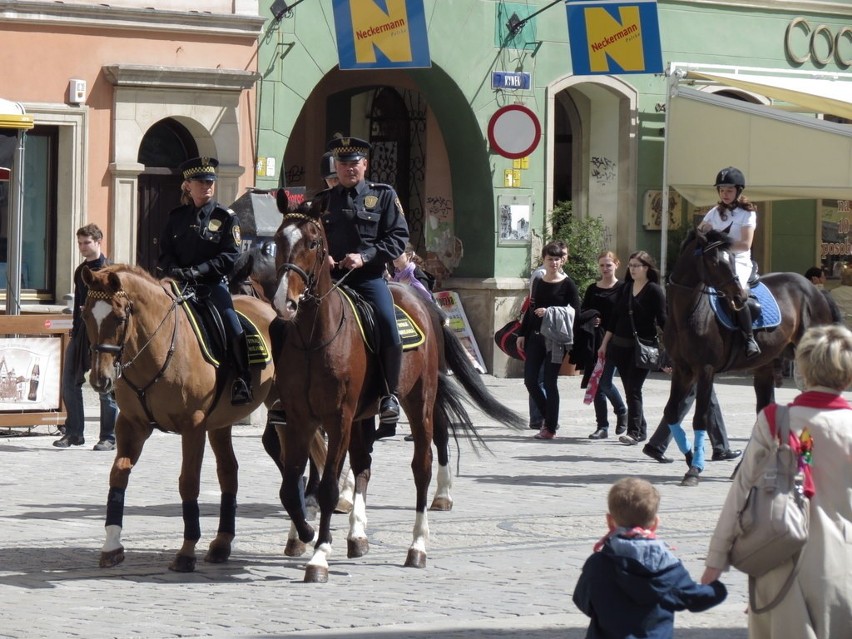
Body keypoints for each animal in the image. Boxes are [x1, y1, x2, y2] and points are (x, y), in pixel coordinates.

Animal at [270, 211, 524, 584]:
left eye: (313, 243)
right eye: (278, 239)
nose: (283, 302)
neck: (314, 339)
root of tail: (424, 303)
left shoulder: (339, 418)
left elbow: (328, 486)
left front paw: (319, 555)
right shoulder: (299, 417)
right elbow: (291, 487)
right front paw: (303, 533)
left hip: (419, 401)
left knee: (424, 464)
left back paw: (417, 544)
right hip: (363, 416)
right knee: (363, 465)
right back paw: (358, 536)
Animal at [664, 228, 836, 482]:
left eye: (732, 259)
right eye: (714, 261)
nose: (739, 297)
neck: (685, 313)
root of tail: (816, 291)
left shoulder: (705, 369)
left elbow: (700, 417)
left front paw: (694, 469)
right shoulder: (681, 369)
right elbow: (671, 414)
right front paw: (690, 458)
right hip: (765, 367)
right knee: (763, 414)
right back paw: (743, 469)